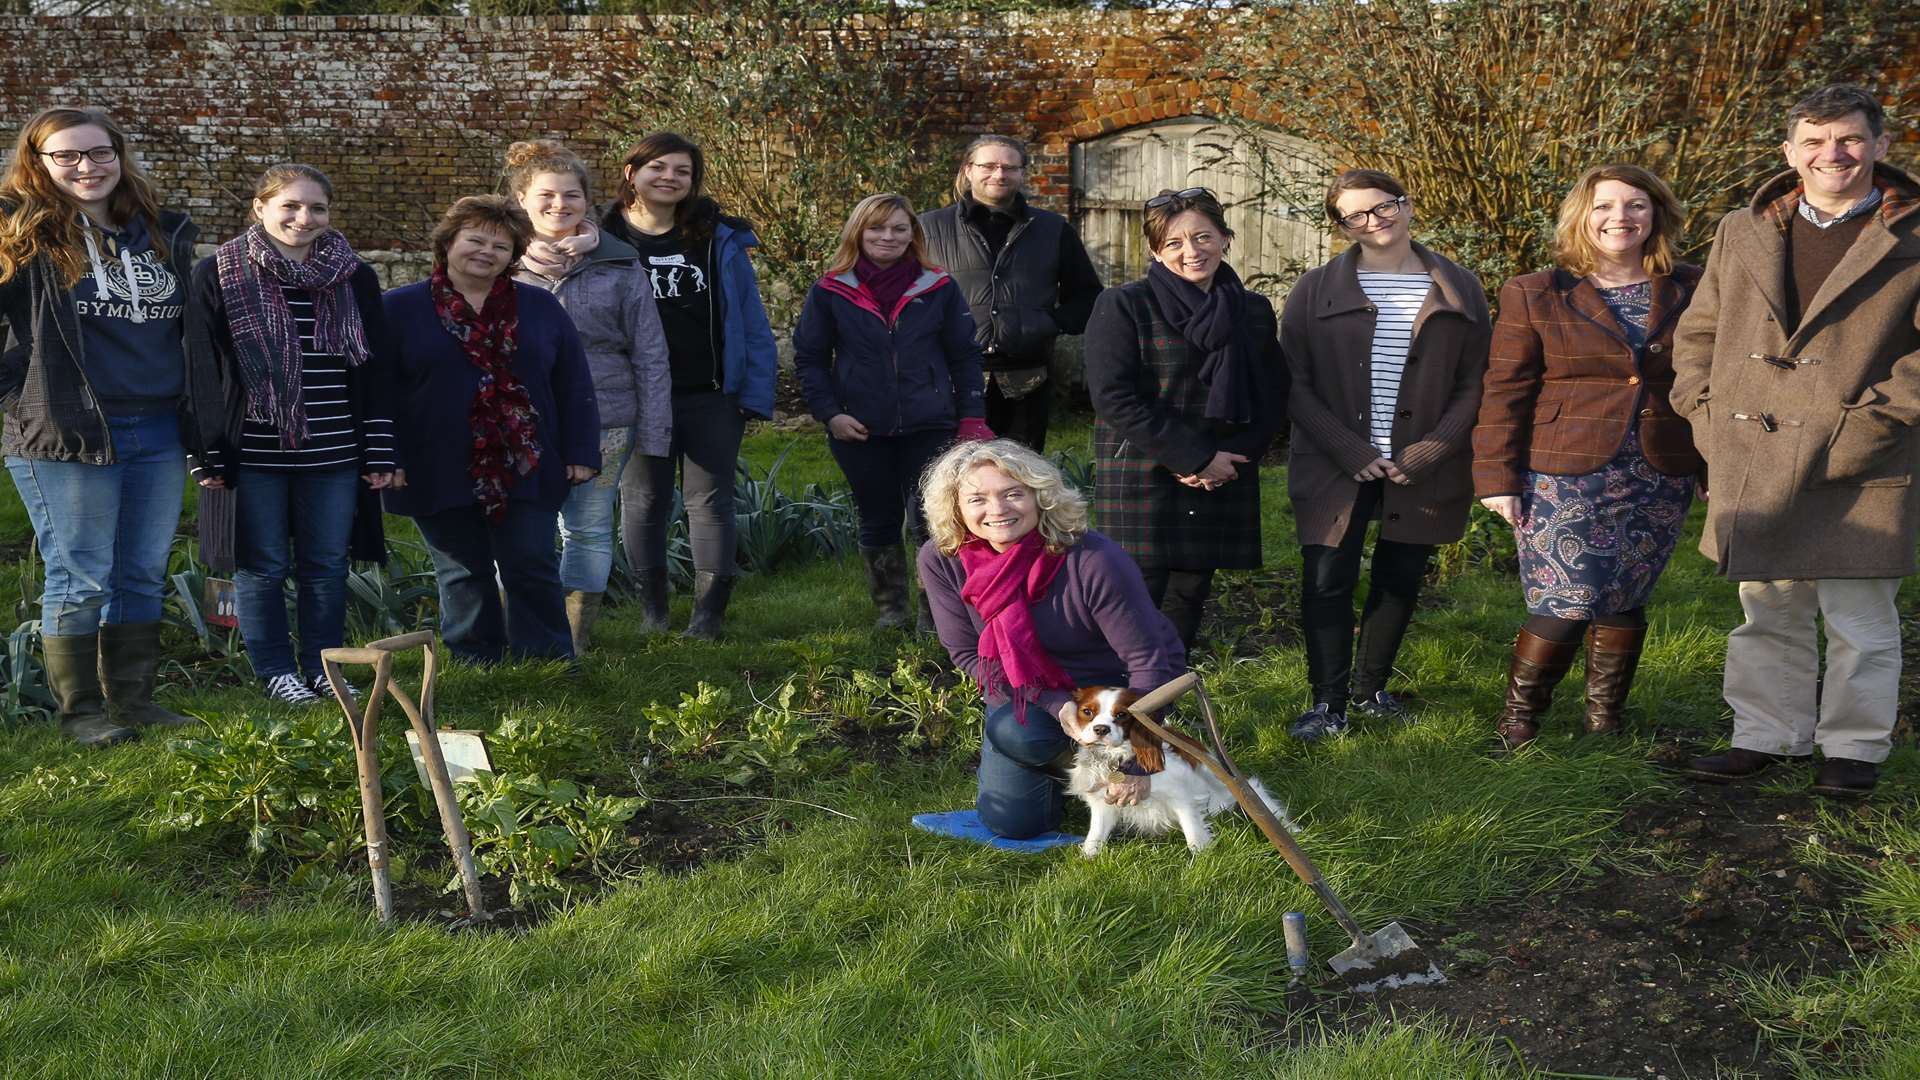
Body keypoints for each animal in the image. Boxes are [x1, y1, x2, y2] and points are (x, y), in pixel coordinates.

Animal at [1059, 684, 1297, 853]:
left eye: (1121, 715)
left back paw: (1291, 830)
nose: (1101, 729)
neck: (1118, 759)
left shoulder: (1181, 797)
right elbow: (1095, 837)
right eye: (1087, 711)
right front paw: (1087, 858)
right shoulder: (1103, 805)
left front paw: (1202, 860)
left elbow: (1194, 836)